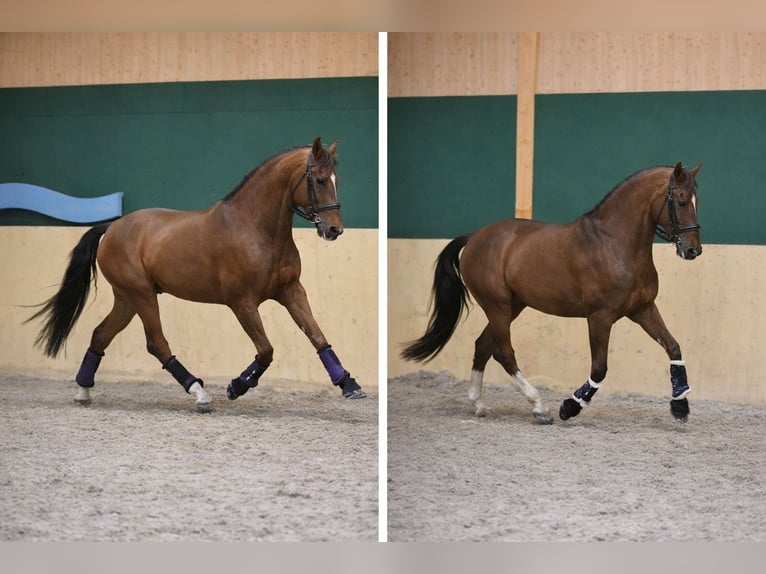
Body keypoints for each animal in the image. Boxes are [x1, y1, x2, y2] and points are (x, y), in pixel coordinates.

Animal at [28, 137, 366, 412]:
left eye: (336, 179)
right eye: (320, 180)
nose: (334, 230)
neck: (256, 229)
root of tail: (112, 227)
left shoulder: (291, 291)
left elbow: (318, 336)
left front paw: (349, 385)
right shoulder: (242, 303)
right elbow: (266, 350)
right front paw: (236, 386)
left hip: (127, 299)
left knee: (101, 335)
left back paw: (83, 391)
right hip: (142, 295)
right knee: (157, 344)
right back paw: (199, 393)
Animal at [402, 162, 702, 424]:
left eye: (696, 199)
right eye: (681, 201)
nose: (692, 250)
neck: (614, 244)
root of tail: (475, 237)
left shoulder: (642, 309)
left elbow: (673, 346)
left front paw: (680, 406)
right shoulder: (600, 316)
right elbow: (599, 368)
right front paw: (569, 407)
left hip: (513, 306)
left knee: (483, 345)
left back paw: (478, 404)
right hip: (497, 306)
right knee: (504, 351)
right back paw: (539, 407)